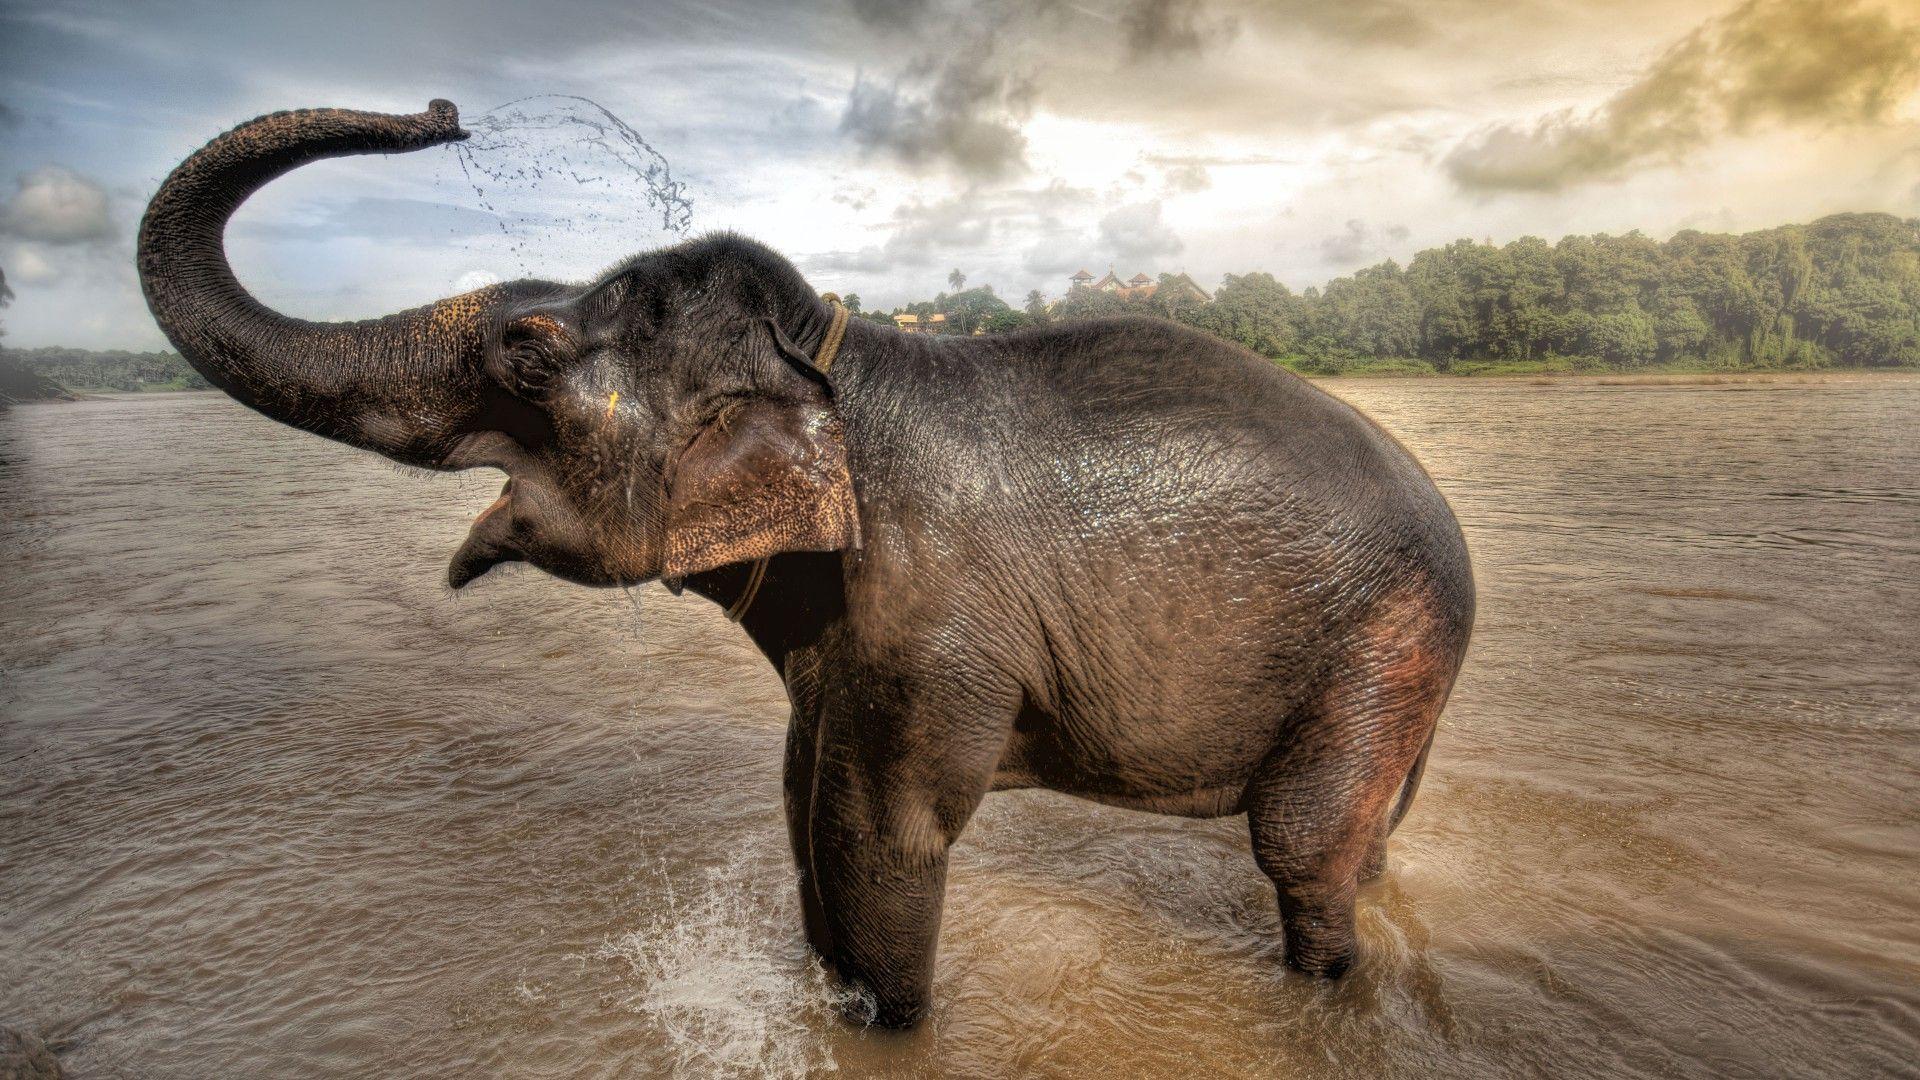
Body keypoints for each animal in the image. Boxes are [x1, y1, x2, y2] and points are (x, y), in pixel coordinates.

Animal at [137, 100, 1474, 1028]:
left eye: (526, 354)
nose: (445, 112)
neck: (836, 355)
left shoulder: (932, 623)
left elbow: (878, 841)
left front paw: (886, 1025)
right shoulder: (840, 638)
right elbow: (801, 810)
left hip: (1384, 641)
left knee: (1300, 845)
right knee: (1361, 836)